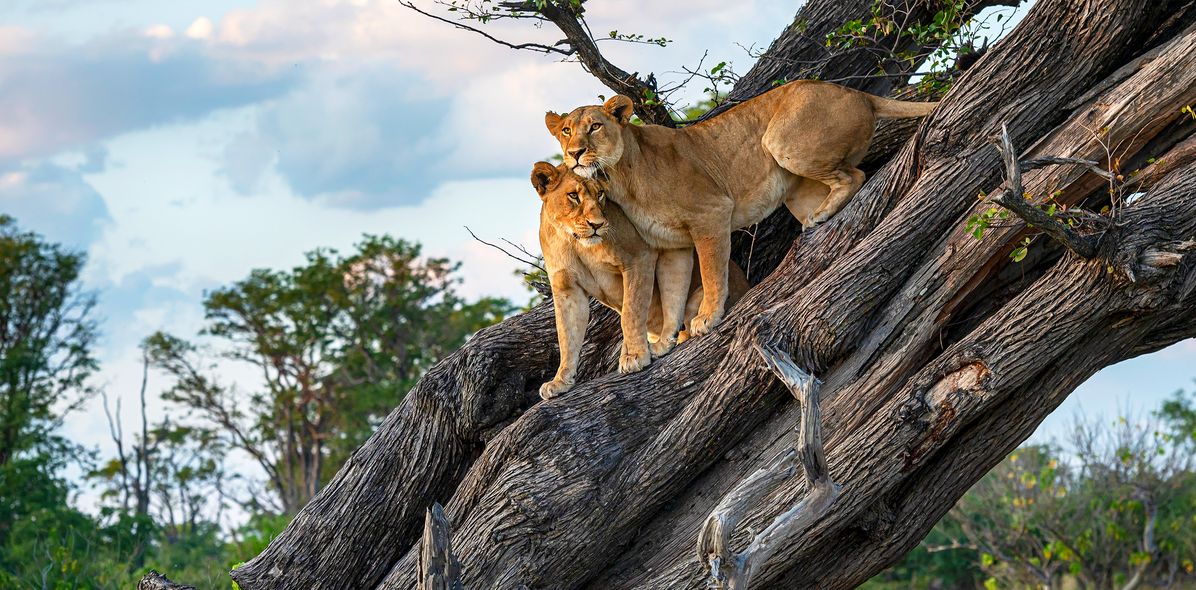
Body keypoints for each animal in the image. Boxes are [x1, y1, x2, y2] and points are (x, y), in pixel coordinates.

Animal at [532, 162, 748, 399]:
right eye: (573, 195)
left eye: (600, 194)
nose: (597, 224)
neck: (573, 241)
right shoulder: (566, 288)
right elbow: (566, 336)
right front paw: (561, 381)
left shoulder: (639, 258)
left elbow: (631, 313)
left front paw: (634, 356)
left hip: (697, 298)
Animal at [545, 80, 937, 336]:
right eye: (566, 131)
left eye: (595, 127)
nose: (574, 153)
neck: (619, 176)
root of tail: (858, 93)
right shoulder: (670, 244)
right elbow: (673, 292)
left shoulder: (711, 212)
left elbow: (712, 272)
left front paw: (707, 317)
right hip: (796, 188)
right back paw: (819, 217)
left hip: (782, 142)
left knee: (854, 174)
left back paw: (822, 216)